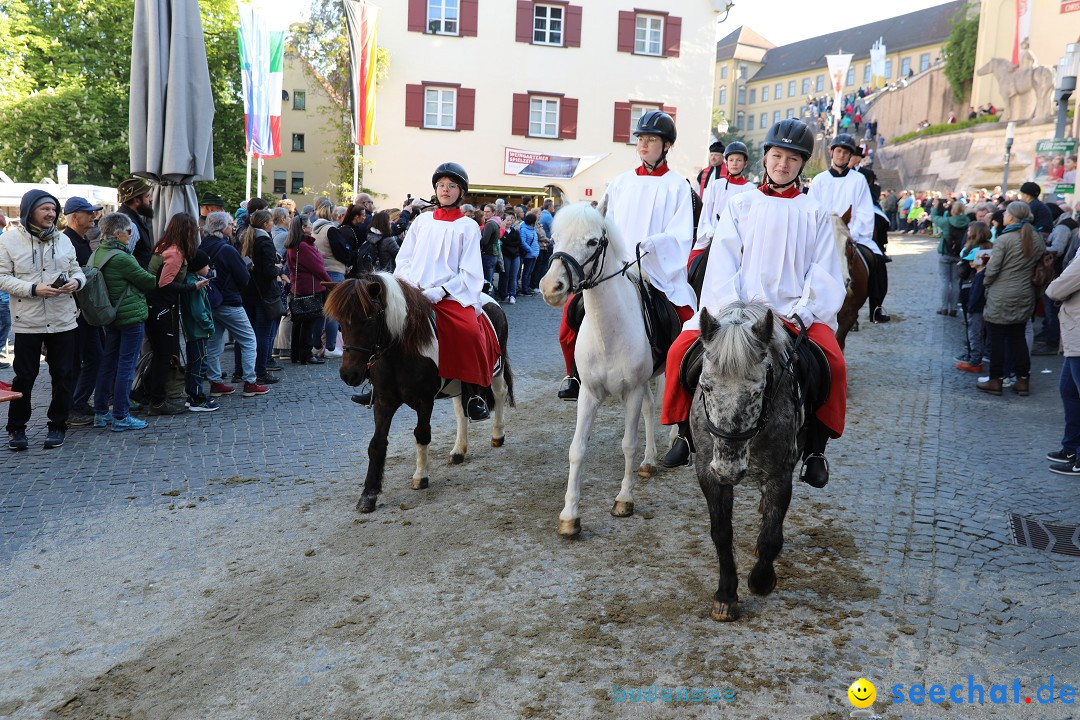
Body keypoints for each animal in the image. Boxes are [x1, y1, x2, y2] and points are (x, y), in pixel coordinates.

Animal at [537, 199, 656, 537]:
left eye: (592, 242)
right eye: (555, 239)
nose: (551, 287)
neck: (608, 332)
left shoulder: (632, 392)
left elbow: (628, 444)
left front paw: (624, 500)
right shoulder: (589, 394)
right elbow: (577, 449)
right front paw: (569, 516)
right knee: (651, 409)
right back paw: (650, 461)